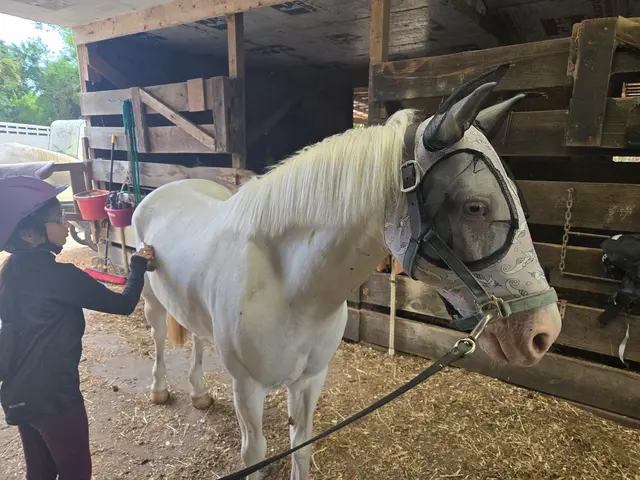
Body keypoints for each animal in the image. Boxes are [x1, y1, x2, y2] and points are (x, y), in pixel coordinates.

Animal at [132, 69, 562, 479]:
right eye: (475, 207)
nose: (544, 332)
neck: (288, 287)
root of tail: (164, 190)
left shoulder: (310, 380)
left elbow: (300, 448)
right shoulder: (248, 389)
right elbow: (253, 454)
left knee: (196, 339)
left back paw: (199, 393)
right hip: (152, 303)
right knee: (159, 338)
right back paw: (159, 390)